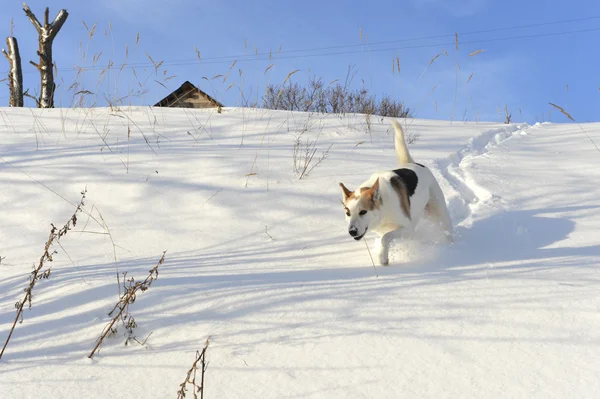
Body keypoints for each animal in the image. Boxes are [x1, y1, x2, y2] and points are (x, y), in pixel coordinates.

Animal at [340, 120, 452, 268]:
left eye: (363, 212)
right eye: (348, 213)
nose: (352, 231)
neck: (383, 209)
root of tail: (413, 163)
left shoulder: (407, 228)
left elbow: (385, 238)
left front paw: (383, 258)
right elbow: (385, 237)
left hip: (437, 211)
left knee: (446, 226)